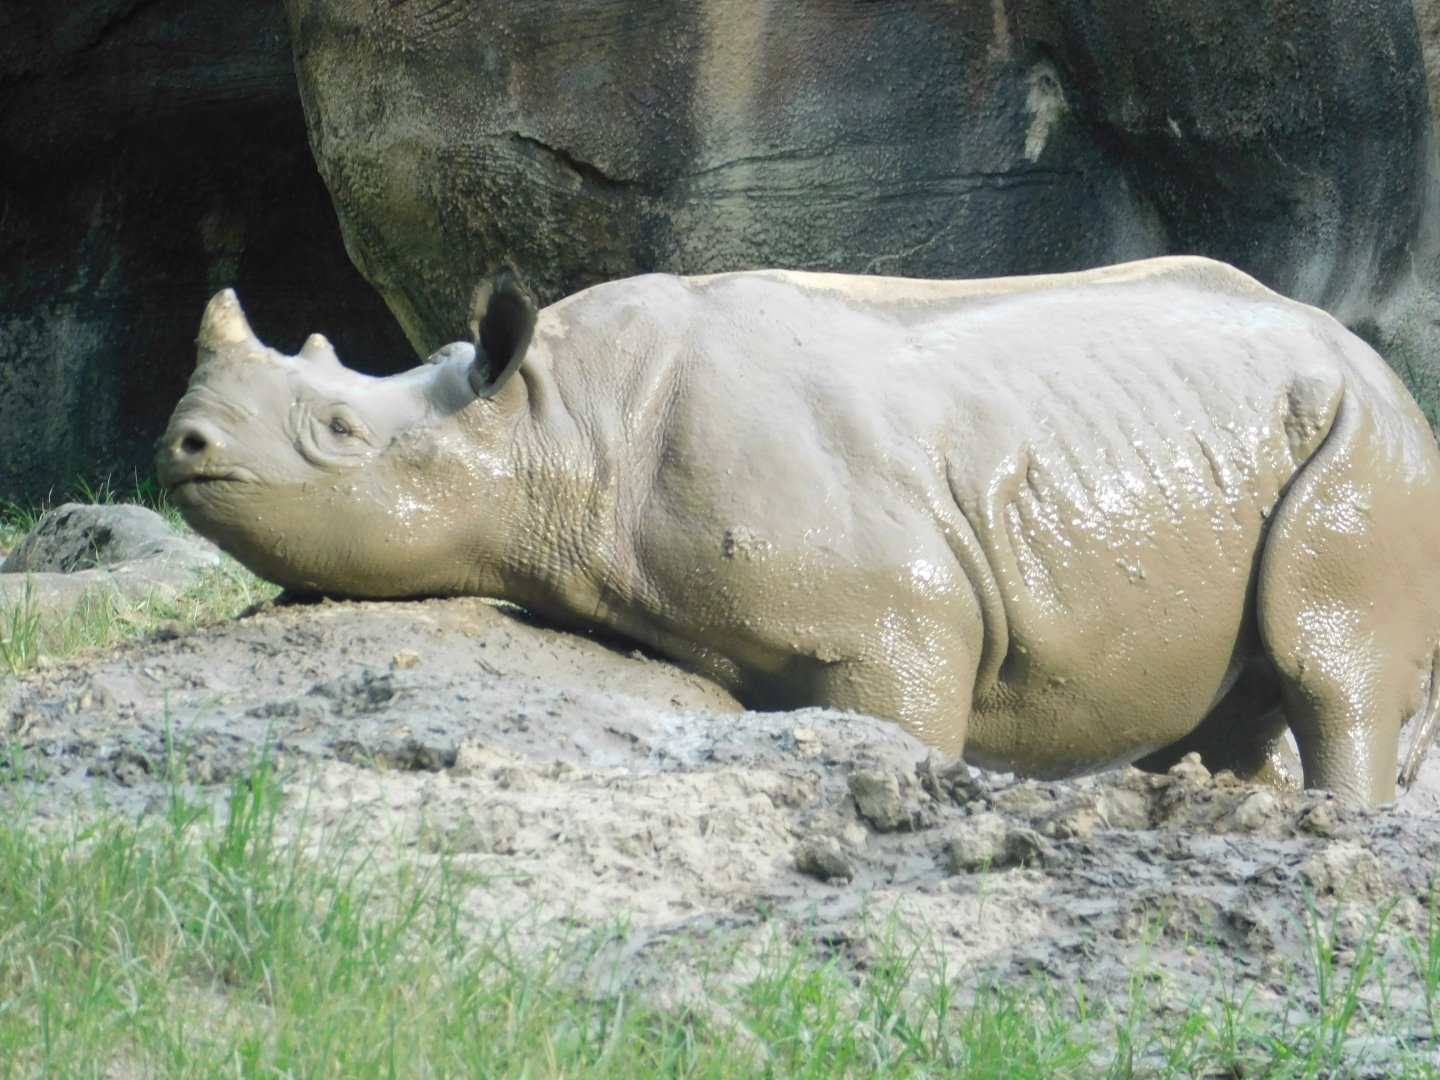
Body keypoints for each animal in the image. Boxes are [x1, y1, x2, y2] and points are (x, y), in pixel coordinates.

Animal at [156, 256, 1440, 806]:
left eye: (337, 431)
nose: (184, 445)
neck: (552, 420)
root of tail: (1368, 352)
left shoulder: (901, 620)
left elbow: (901, 718)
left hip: (1375, 443)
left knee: (1333, 663)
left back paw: (1341, 824)